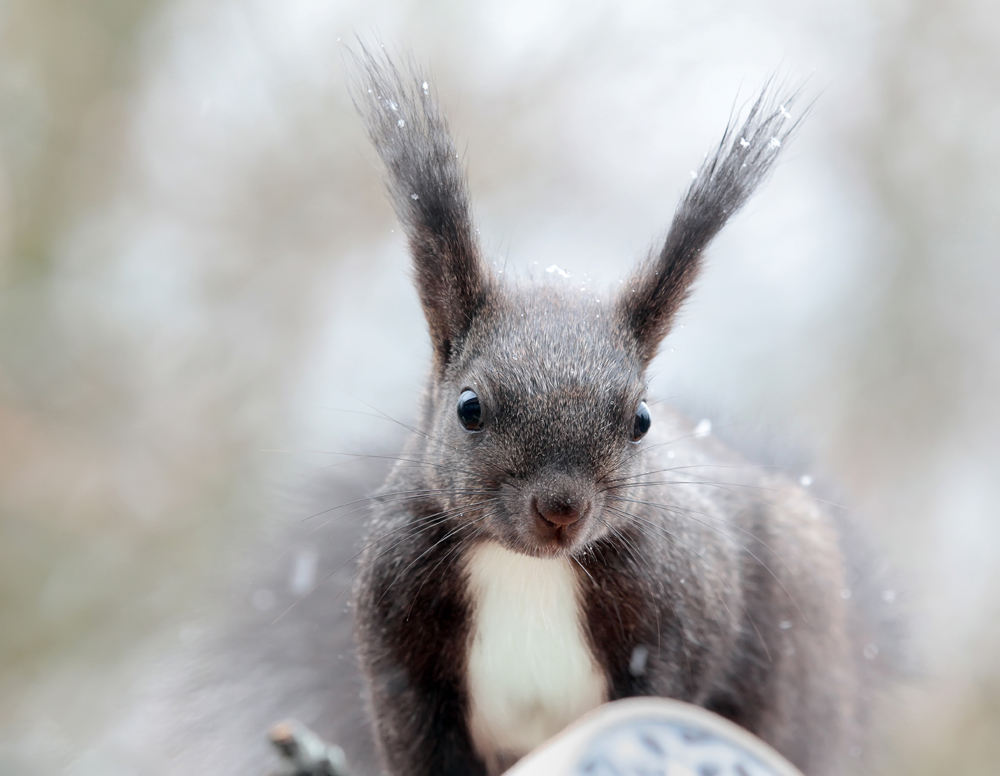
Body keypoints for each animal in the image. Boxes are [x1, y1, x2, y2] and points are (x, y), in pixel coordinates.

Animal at [348, 48, 904, 776]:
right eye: (469, 408)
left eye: (641, 419)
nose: (562, 510)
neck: (530, 567)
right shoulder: (397, 641)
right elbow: (415, 738)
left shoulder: (685, 605)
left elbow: (669, 685)